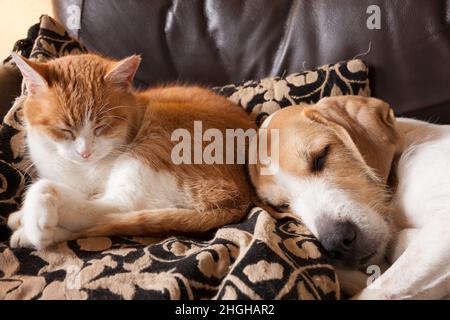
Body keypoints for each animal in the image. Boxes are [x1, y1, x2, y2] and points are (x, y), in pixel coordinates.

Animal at [8, 52, 256, 250]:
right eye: (64, 129)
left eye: (102, 126)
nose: (85, 153)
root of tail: (240, 195)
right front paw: (22, 217)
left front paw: (35, 221)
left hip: (151, 144)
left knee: (112, 207)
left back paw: (37, 227)